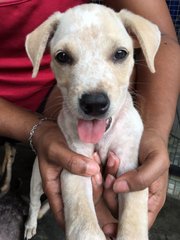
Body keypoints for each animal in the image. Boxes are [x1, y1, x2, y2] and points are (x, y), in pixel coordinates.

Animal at [23, 3, 160, 240]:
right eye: (62, 56)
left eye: (120, 54)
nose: (95, 103)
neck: (102, 137)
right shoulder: (77, 167)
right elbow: (84, 223)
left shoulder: (130, 169)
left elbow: (133, 219)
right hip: (37, 177)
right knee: (33, 202)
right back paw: (31, 223)